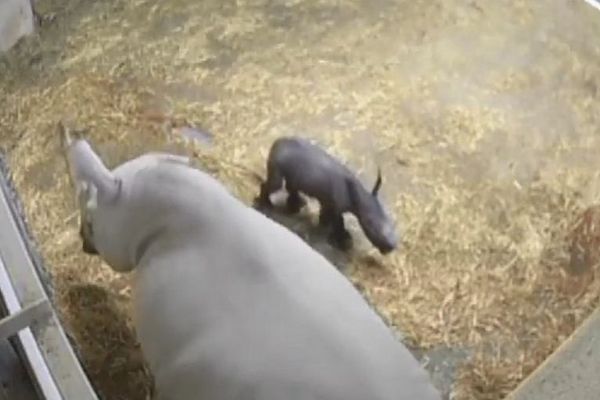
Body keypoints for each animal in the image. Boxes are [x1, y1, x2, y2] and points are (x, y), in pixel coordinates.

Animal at [254, 134, 398, 253]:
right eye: (370, 224)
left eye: (390, 220)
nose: (391, 246)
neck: (358, 198)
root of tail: (277, 142)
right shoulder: (335, 207)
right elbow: (338, 223)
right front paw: (343, 242)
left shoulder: (328, 202)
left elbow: (328, 216)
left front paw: (324, 224)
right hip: (277, 165)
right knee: (275, 184)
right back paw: (265, 205)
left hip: (293, 170)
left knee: (292, 184)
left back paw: (297, 205)